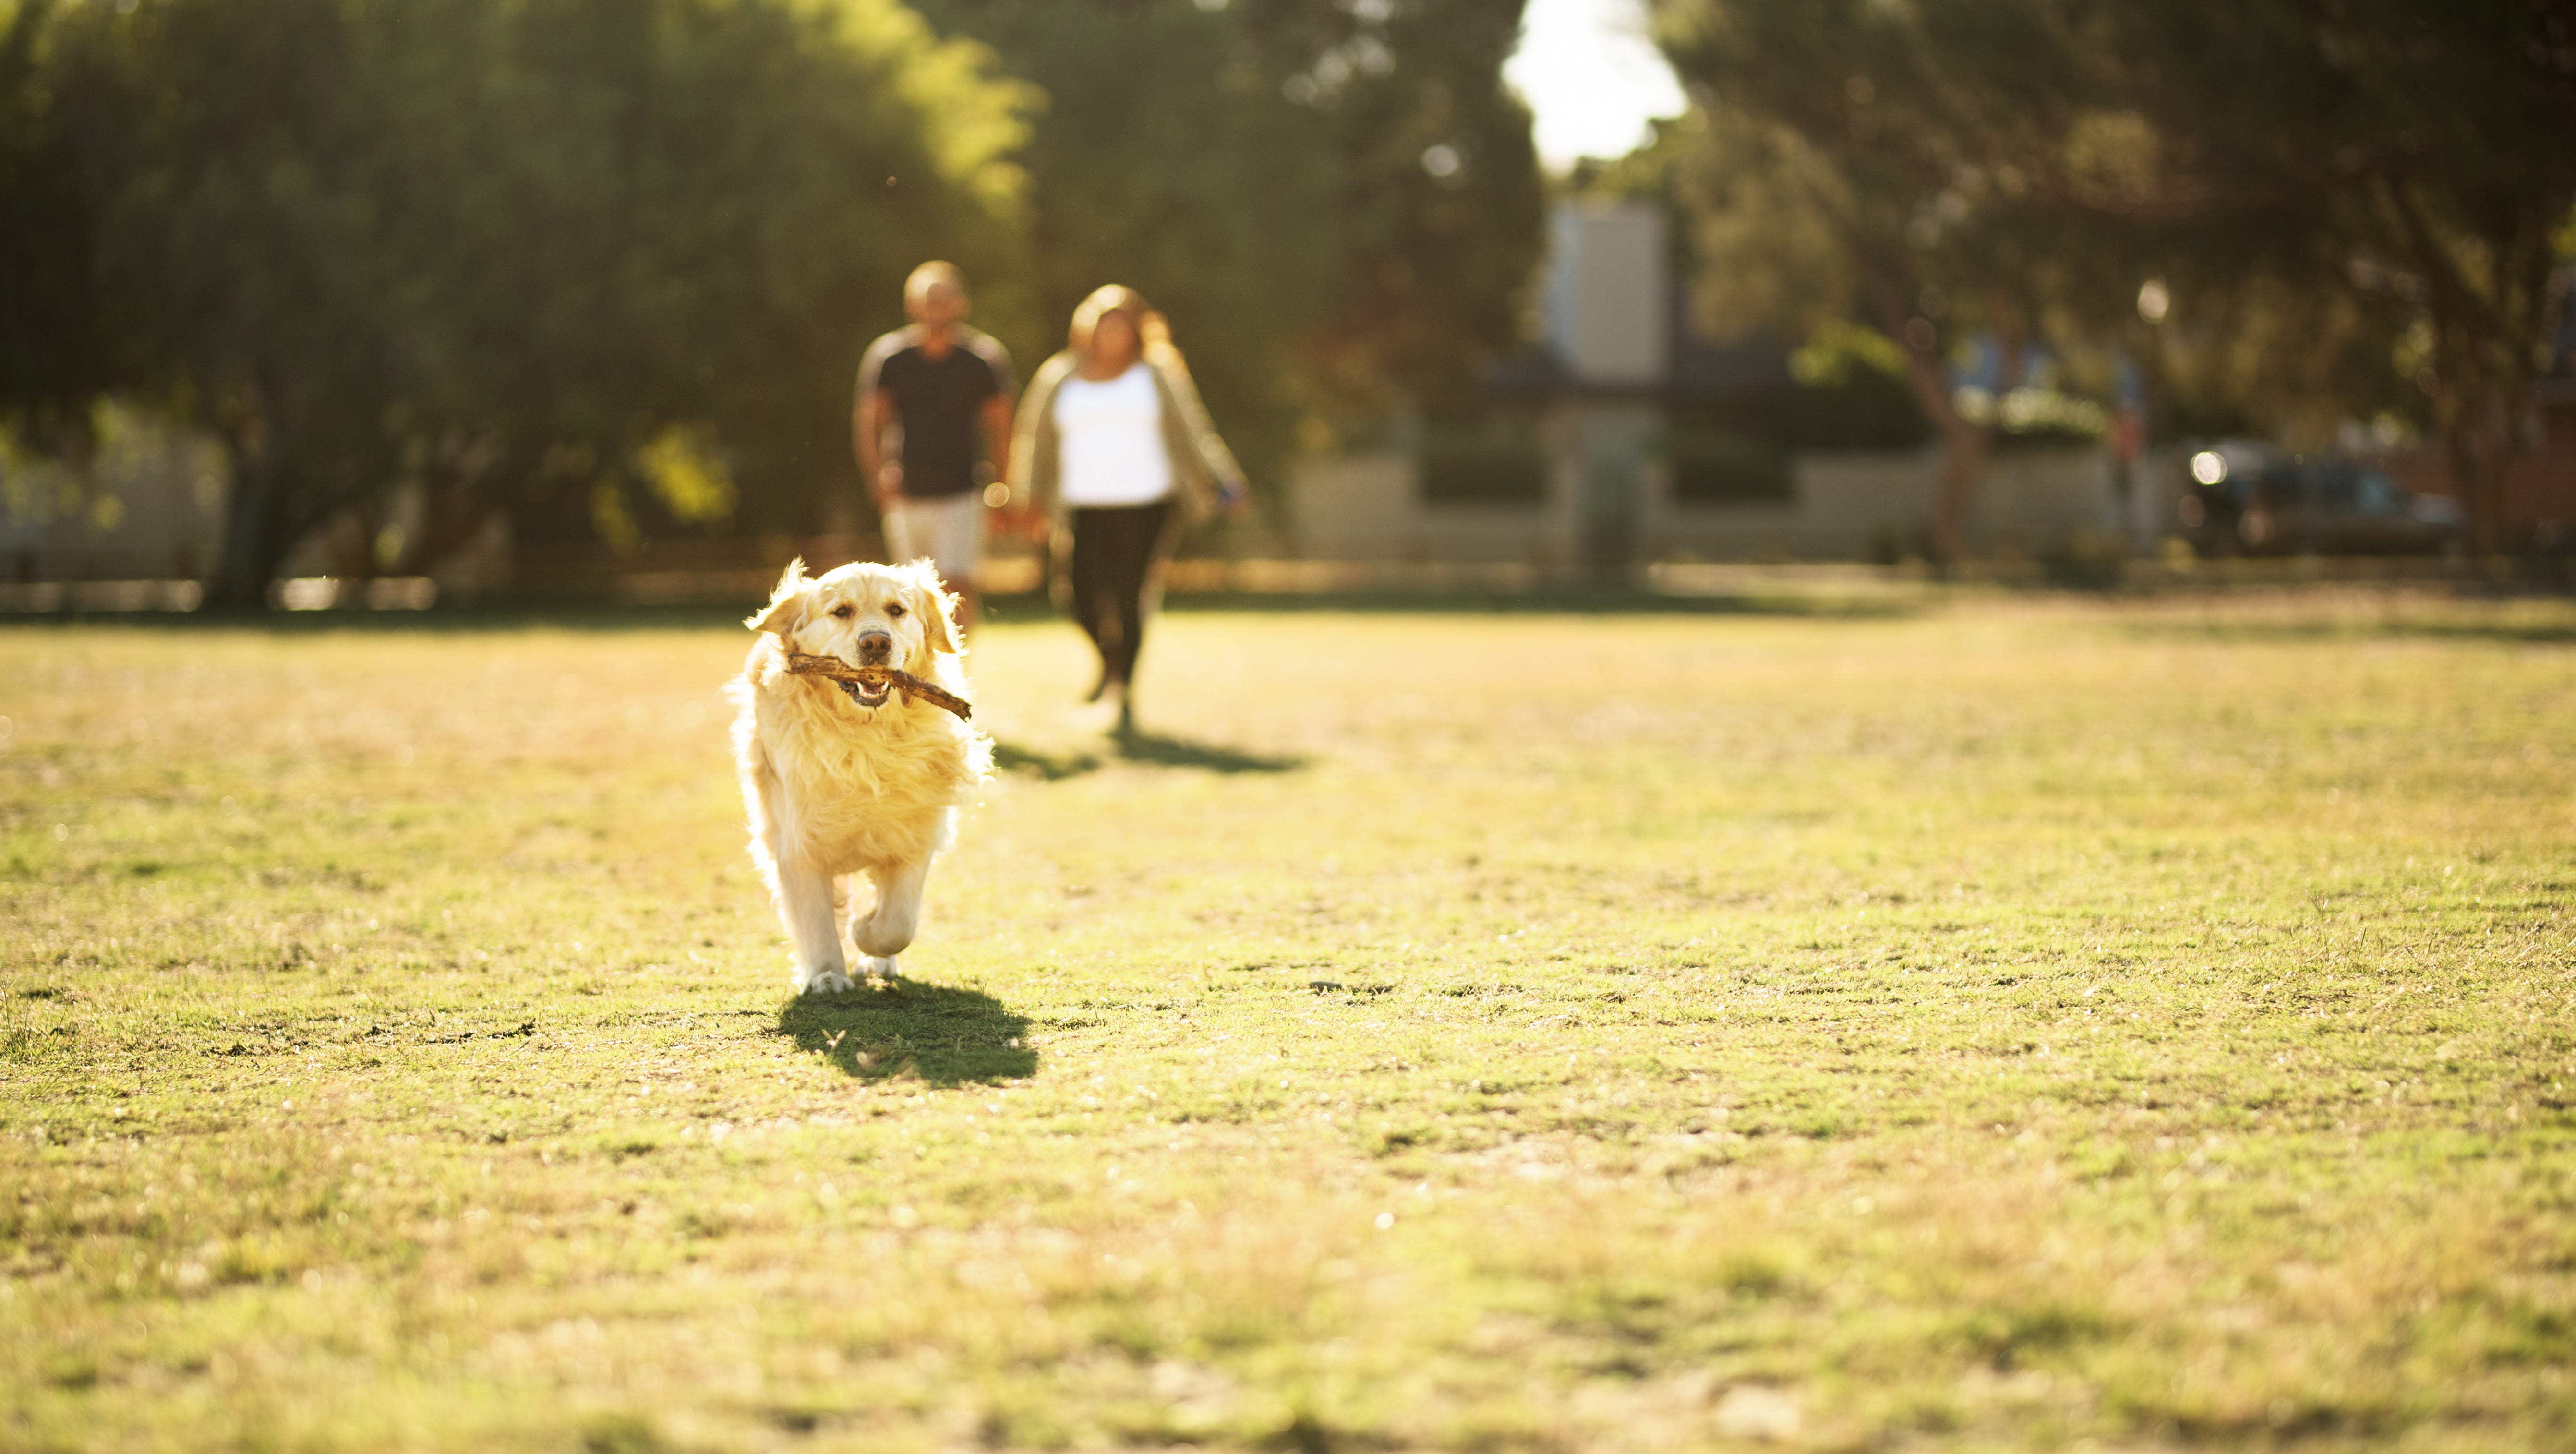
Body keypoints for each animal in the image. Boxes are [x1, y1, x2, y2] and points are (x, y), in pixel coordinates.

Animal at [742, 557, 999, 990]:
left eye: (896, 610)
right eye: (841, 611)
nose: (876, 643)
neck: (867, 738)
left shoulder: (912, 834)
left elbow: (897, 924)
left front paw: (865, 932)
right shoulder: (798, 842)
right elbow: (816, 918)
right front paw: (827, 973)